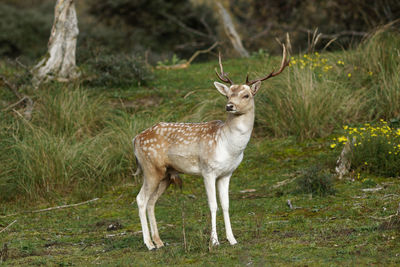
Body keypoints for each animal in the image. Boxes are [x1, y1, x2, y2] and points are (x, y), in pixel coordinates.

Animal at [133, 44, 290, 251]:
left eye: (246, 94)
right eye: (228, 94)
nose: (229, 106)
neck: (228, 146)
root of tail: (135, 139)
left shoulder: (227, 173)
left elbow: (226, 204)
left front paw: (232, 239)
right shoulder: (208, 170)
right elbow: (212, 204)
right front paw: (214, 241)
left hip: (166, 174)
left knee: (151, 201)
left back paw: (158, 241)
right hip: (150, 168)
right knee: (141, 199)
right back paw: (148, 244)